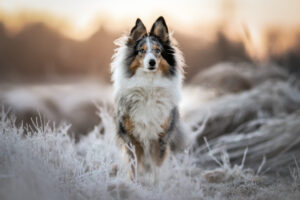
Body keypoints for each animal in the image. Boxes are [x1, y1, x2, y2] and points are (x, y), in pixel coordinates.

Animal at [110, 16, 185, 180]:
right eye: (142, 51)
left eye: (157, 51)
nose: (152, 62)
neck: (149, 86)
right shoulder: (132, 138)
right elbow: (134, 168)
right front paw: (135, 184)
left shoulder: (160, 138)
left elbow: (156, 169)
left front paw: (156, 186)